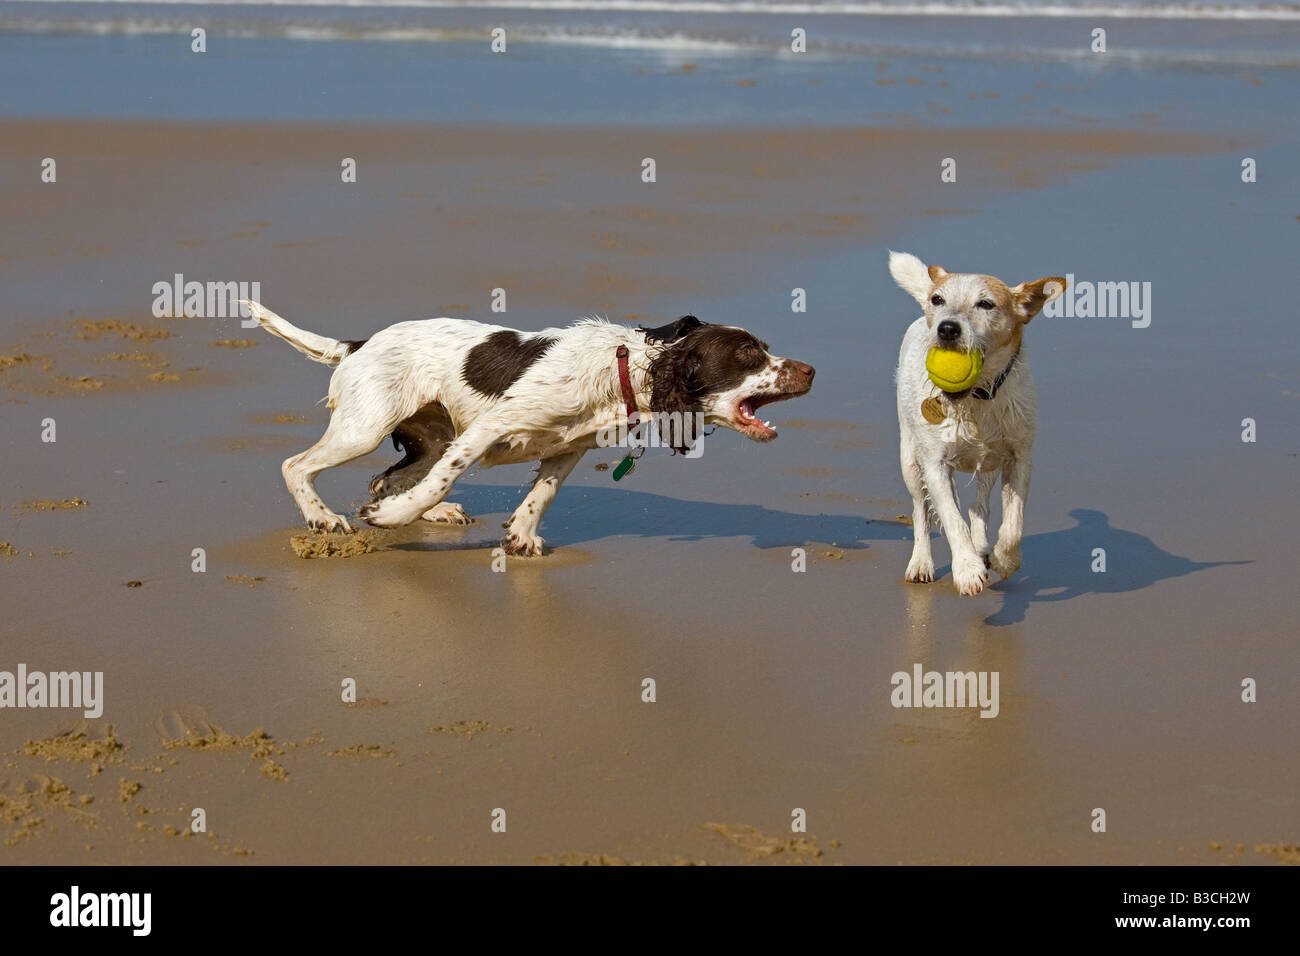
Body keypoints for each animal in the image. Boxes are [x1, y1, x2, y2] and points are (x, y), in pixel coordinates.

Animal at [894, 254, 1066, 598]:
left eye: (985, 304)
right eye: (938, 300)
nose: (947, 328)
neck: (976, 397)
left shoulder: (1019, 459)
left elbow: (1013, 523)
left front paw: (1004, 560)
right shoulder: (935, 465)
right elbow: (951, 519)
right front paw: (967, 569)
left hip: (989, 464)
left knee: (979, 507)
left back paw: (983, 548)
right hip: (910, 461)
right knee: (921, 511)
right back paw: (922, 562)